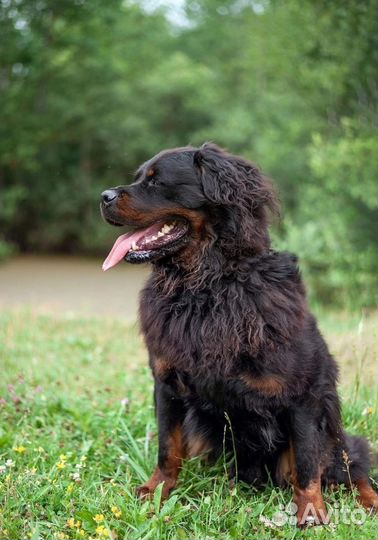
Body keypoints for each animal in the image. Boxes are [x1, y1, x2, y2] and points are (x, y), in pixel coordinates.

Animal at [101, 143, 378, 528]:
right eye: (140, 177)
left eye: (156, 182)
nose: (103, 196)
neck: (207, 285)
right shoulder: (166, 383)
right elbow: (168, 448)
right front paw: (156, 491)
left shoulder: (305, 396)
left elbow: (308, 463)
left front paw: (310, 512)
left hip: (332, 430)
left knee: (352, 463)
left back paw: (371, 500)